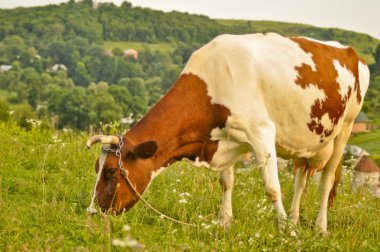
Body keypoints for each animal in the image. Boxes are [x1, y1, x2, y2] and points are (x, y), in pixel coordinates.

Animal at [85, 32, 368, 235]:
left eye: (111, 172)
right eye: (96, 168)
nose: (91, 213)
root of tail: (349, 50)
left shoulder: (261, 132)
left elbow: (272, 188)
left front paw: (287, 234)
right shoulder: (225, 140)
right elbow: (226, 182)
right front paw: (224, 223)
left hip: (345, 128)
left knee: (326, 181)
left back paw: (320, 228)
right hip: (305, 141)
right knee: (301, 180)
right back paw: (295, 220)